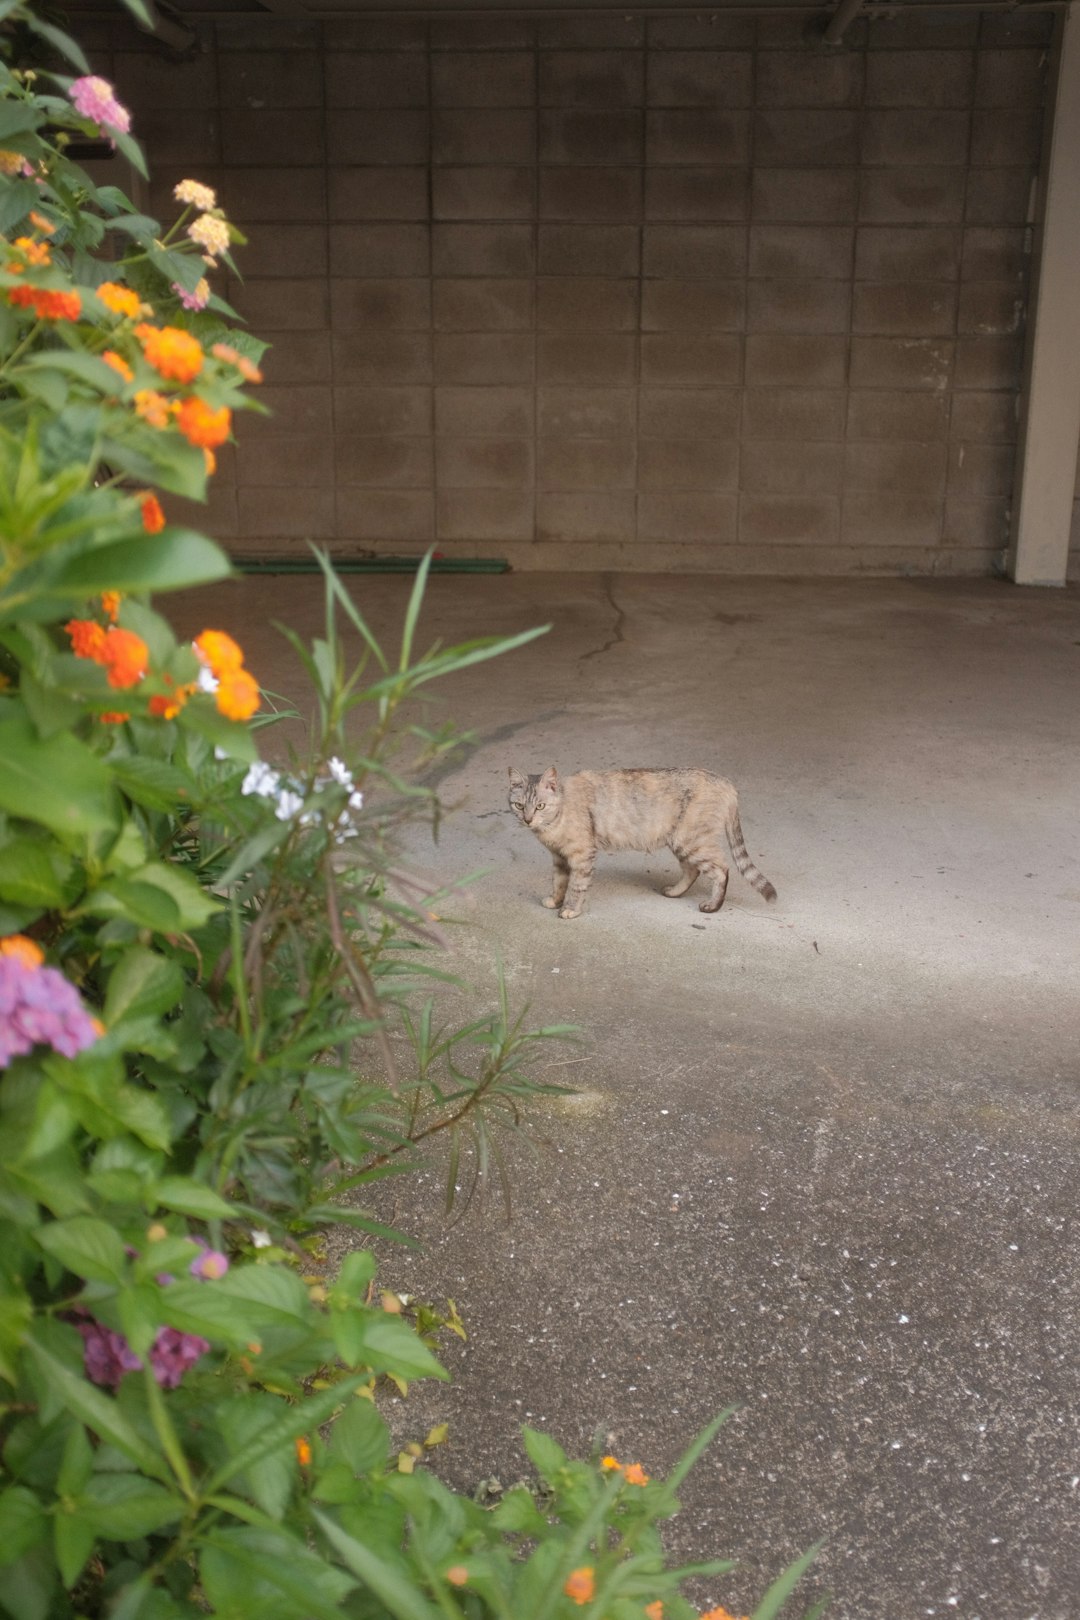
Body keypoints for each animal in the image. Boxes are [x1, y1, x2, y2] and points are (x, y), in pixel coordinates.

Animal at [508, 764, 777, 920]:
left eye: (540, 806)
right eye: (519, 805)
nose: (528, 819)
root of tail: (726, 782)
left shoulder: (581, 854)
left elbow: (576, 885)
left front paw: (571, 909)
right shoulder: (559, 858)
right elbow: (558, 883)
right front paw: (555, 901)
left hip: (691, 841)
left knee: (721, 870)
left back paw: (712, 905)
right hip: (680, 841)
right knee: (692, 870)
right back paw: (674, 892)